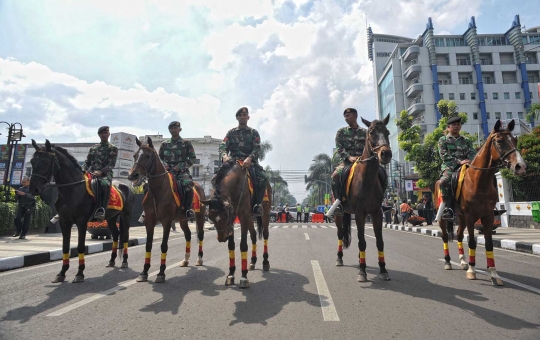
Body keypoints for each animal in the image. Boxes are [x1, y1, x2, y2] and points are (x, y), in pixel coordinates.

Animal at [28, 139, 133, 282]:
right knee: (116, 235)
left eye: (45, 161)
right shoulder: (64, 222)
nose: (34, 189)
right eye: (32, 161)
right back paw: (112, 261)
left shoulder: (81, 221)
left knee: (125, 237)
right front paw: (62, 273)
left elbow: (80, 246)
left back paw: (125, 262)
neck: (73, 189)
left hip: (126, 215)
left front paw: (79, 273)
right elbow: (65, 247)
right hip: (111, 218)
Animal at [127, 137, 208, 282]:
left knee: (200, 235)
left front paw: (161, 273)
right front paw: (144, 272)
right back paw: (186, 260)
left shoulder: (166, 221)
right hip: (182, 219)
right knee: (188, 234)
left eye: (148, 156)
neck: (157, 190)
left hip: (199, 217)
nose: (132, 175)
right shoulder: (149, 221)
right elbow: (148, 245)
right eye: (135, 155)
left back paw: (199, 259)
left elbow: (164, 245)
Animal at [334, 115, 392, 282]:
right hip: (340, 214)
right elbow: (361, 242)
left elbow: (379, 242)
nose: (386, 154)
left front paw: (383, 269)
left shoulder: (376, 213)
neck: (367, 180)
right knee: (340, 234)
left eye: (387, 132)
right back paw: (340, 258)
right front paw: (362, 271)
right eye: (371, 132)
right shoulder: (360, 213)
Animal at [434, 119, 528, 284]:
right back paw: (448, 262)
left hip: (461, 217)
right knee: (445, 236)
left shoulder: (488, 216)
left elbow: (488, 243)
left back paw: (463, 261)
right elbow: (472, 241)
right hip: (445, 217)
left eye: (515, 140)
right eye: (499, 141)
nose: (520, 166)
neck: (479, 181)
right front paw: (472, 270)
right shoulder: (471, 216)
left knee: (459, 235)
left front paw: (494, 273)